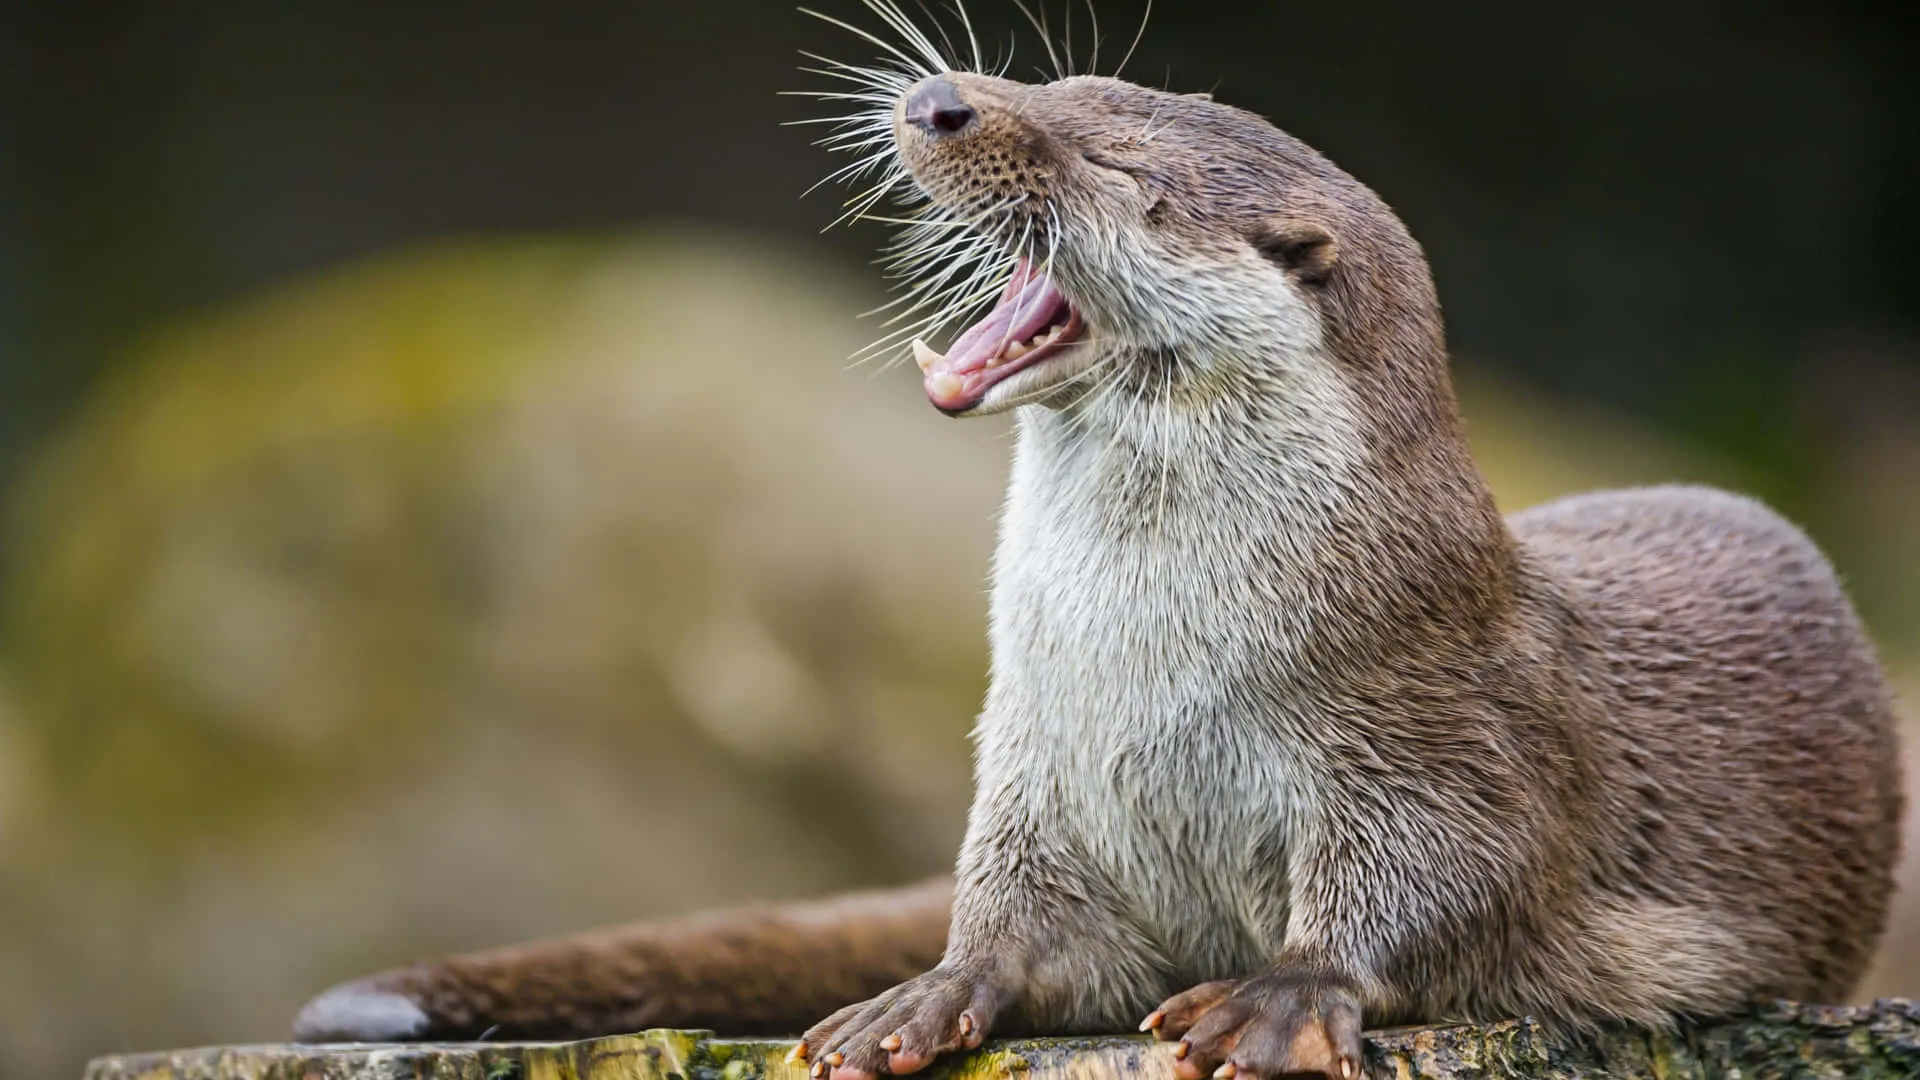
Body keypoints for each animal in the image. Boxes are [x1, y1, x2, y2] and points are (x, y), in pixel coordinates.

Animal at [293, 7, 1903, 1079]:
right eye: (1059, 81)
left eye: (1119, 168)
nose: (945, 99)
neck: (1150, 667)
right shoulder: (1033, 764)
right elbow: (1020, 922)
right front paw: (930, 991)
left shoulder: (1438, 724)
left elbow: (1450, 882)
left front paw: (1279, 993)